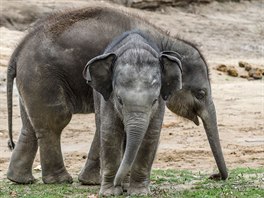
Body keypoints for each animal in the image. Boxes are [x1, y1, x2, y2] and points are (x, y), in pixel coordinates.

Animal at [7, 4, 228, 192]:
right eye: (201, 93)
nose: (215, 176)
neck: (166, 39)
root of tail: (18, 51)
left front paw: (99, 182)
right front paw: (96, 182)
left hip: (32, 82)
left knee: (30, 126)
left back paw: (19, 180)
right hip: (43, 78)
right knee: (55, 121)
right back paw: (60, 180)